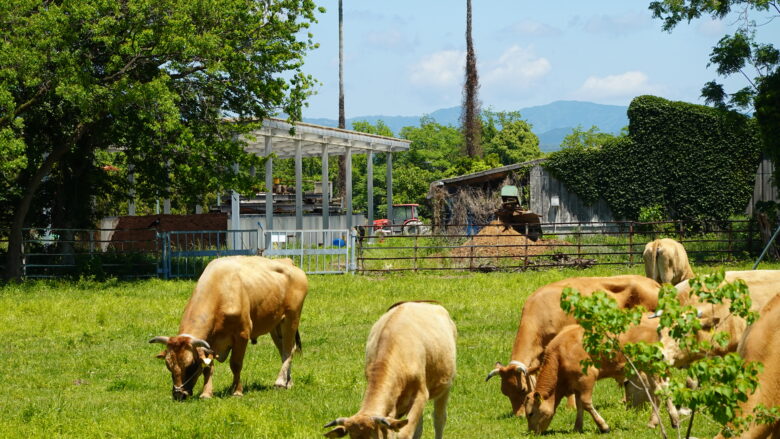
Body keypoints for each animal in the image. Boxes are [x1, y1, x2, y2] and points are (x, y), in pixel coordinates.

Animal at [148, 256, 306, 400]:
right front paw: (206, 393)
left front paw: (236, 391)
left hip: (291, 319)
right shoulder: (209, 342)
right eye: (168, 366)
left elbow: (235, 364)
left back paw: (280, 382)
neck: (220, 289)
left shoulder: (242, 335)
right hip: (275, 325)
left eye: (191, 365)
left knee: (287, 351)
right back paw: (288, 382)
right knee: (285, 350)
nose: (178, 394)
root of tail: (288, 261)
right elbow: (208, 367)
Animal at [322, 302, 458, 439]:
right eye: (351, 437)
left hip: (445, 386)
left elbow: (405, 433)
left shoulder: (421, 394)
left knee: (439, 419)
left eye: (373, 436)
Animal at [488, 276, 660, 418]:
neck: (543, 310)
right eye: (505, 392)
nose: (519, 415)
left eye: (523, 389)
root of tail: (653, 283)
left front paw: (570, 406)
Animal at [528, 322, 680, 434]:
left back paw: (653, 422)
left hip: (650, 366)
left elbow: (586, 403)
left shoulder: (587, 377)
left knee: (659, 391)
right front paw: (577, 427)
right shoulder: (576, 383)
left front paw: (603, 426)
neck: (560, 353)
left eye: (530, 413)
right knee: (663, 389)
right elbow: (579, 405)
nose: (531, 433)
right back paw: (673, 420)